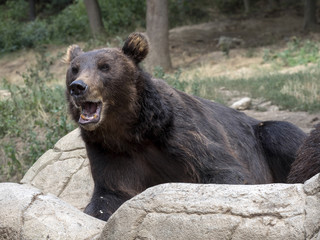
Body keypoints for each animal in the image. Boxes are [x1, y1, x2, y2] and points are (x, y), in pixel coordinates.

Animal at [65, 32, 308, 221]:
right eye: (75, 69)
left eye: (104, 67)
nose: (78, 87)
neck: (130, 130)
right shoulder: (109, 150)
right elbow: (110, 194)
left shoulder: (179, 132)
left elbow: (224, 170)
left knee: (280, 134)